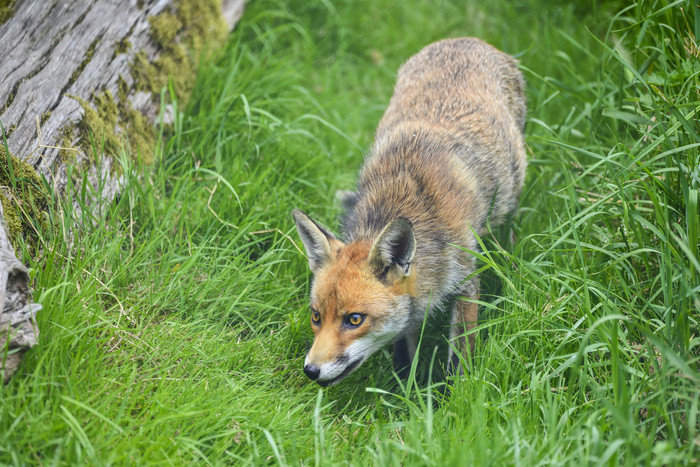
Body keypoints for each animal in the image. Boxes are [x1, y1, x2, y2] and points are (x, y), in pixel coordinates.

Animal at [290, 37, 524, 388]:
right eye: (316, 316)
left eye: (354, 319)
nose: (311, 371)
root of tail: (464, 40)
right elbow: (403, 355)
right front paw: (405, 393)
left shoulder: (466, 282)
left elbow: (459, 358)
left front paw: (454, 396)